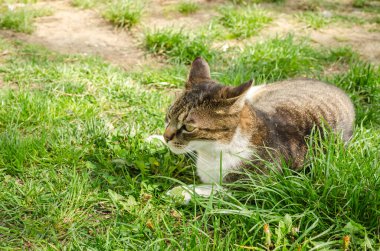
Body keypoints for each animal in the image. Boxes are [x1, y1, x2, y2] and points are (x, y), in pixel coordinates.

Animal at [164, 57, 356, 184]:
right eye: (169, 115)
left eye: (188, 127)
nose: (166, 137)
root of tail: (338, 88)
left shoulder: (253, 188)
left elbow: (213, 191)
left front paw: (180, 192)